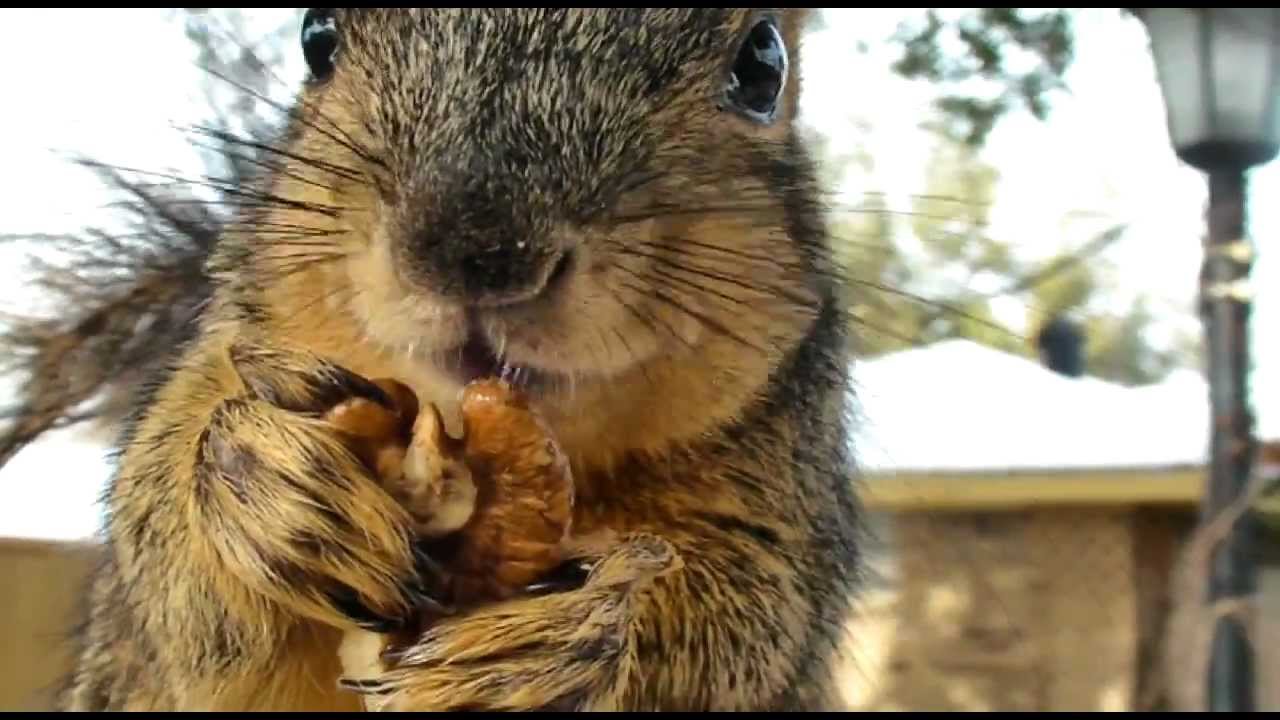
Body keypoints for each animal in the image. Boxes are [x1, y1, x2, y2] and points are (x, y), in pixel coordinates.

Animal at [38, 8, 863, 712]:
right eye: (315, 37)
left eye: (763, 64)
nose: (477, 250)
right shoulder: (221, 360)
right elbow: (165, 527)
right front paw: (268, 478)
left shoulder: (778, 512)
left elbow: (748, 625)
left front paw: (561, 646)